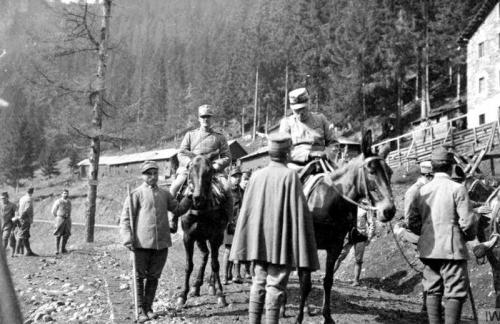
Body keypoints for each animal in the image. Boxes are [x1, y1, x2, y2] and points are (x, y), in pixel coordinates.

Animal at [176, 156, 230, 308]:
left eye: (209, 171)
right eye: (190, 169)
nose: (197, 197)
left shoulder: (215, 237)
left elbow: (215, 264)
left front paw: (220, 294)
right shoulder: (188, 237)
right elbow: (189, 265)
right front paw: (183, 295)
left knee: (211, 258)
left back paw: (212, 286)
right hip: (200, 238)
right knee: (205, 255)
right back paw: (196, 286)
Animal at [294, 130, 396, 322]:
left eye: (390, 172)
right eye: (371, 171)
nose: (389, 211)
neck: (328, 201)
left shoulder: (335, 246)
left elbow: (327, 281)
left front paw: (327, 316)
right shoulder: (307, 246)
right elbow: (305, 283)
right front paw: (299, 318)